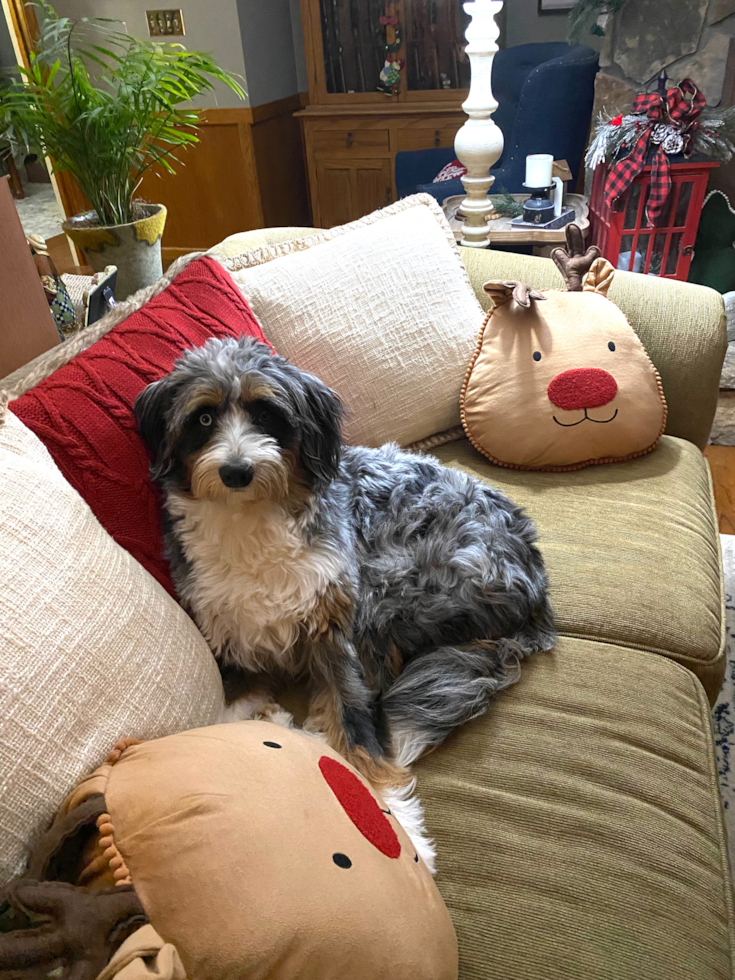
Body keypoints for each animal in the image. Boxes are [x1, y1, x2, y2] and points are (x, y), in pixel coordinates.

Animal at [135, 340, 556, 860]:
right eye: (205, 418)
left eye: (266, 413)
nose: (236, 471)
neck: (251, 521)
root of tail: (536, 585)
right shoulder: (231, 633)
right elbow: (231, 707)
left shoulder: (336, 631)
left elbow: (355, 726)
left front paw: (398, 822)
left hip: (392, 584)